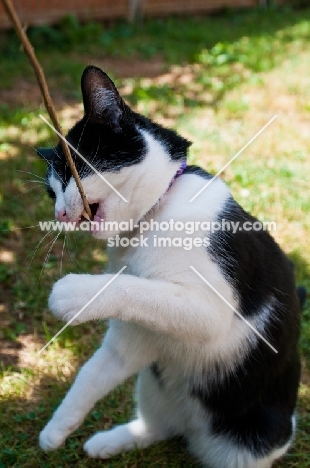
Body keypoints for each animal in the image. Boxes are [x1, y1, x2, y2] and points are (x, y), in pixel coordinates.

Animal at [37, 66, 302, 468]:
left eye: (73, 171)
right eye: (51, 192)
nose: (59, 214)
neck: (154, 216)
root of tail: (195, 434)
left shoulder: (209, 311)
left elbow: (138, 287)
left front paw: (73, 292)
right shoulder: (133, 338)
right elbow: (91, 375)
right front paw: (54, 431)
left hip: (252, 441)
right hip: (153, 383)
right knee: (157, 427)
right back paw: (111, 441)